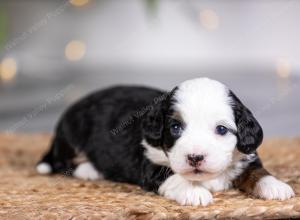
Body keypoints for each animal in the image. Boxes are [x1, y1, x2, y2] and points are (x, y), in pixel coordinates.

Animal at [36, 78, 294, 206]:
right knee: (62, 162)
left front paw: (275, 186)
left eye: (221, 129)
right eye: (176, 128)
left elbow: (257, 171)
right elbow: (173, 176)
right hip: (73, 134)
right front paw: (195, 192)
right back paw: (89, 170)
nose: (195, 158)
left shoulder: (245, 156)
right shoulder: (150, 163)